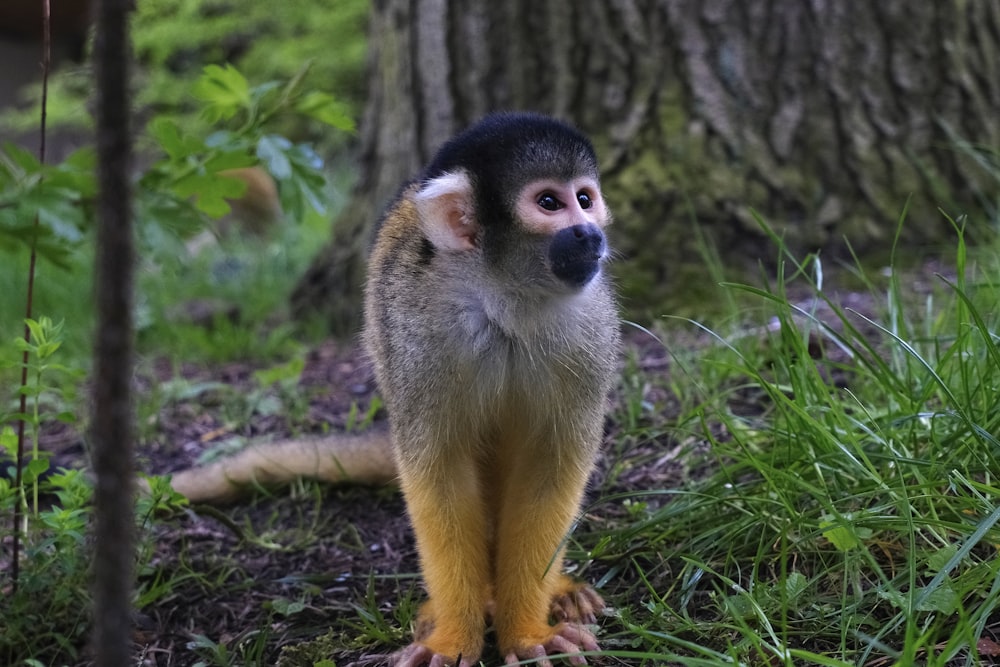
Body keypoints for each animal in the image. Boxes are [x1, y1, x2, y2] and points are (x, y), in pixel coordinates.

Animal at [368, 112, 616, 664]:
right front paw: (453, 636)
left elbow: (551, 467)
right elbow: (439, 470)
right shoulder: (418, 334)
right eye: (549, 203)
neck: (505, 303)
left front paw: (526, 632)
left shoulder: (590, 329)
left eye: (584, 198)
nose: (589, 233)